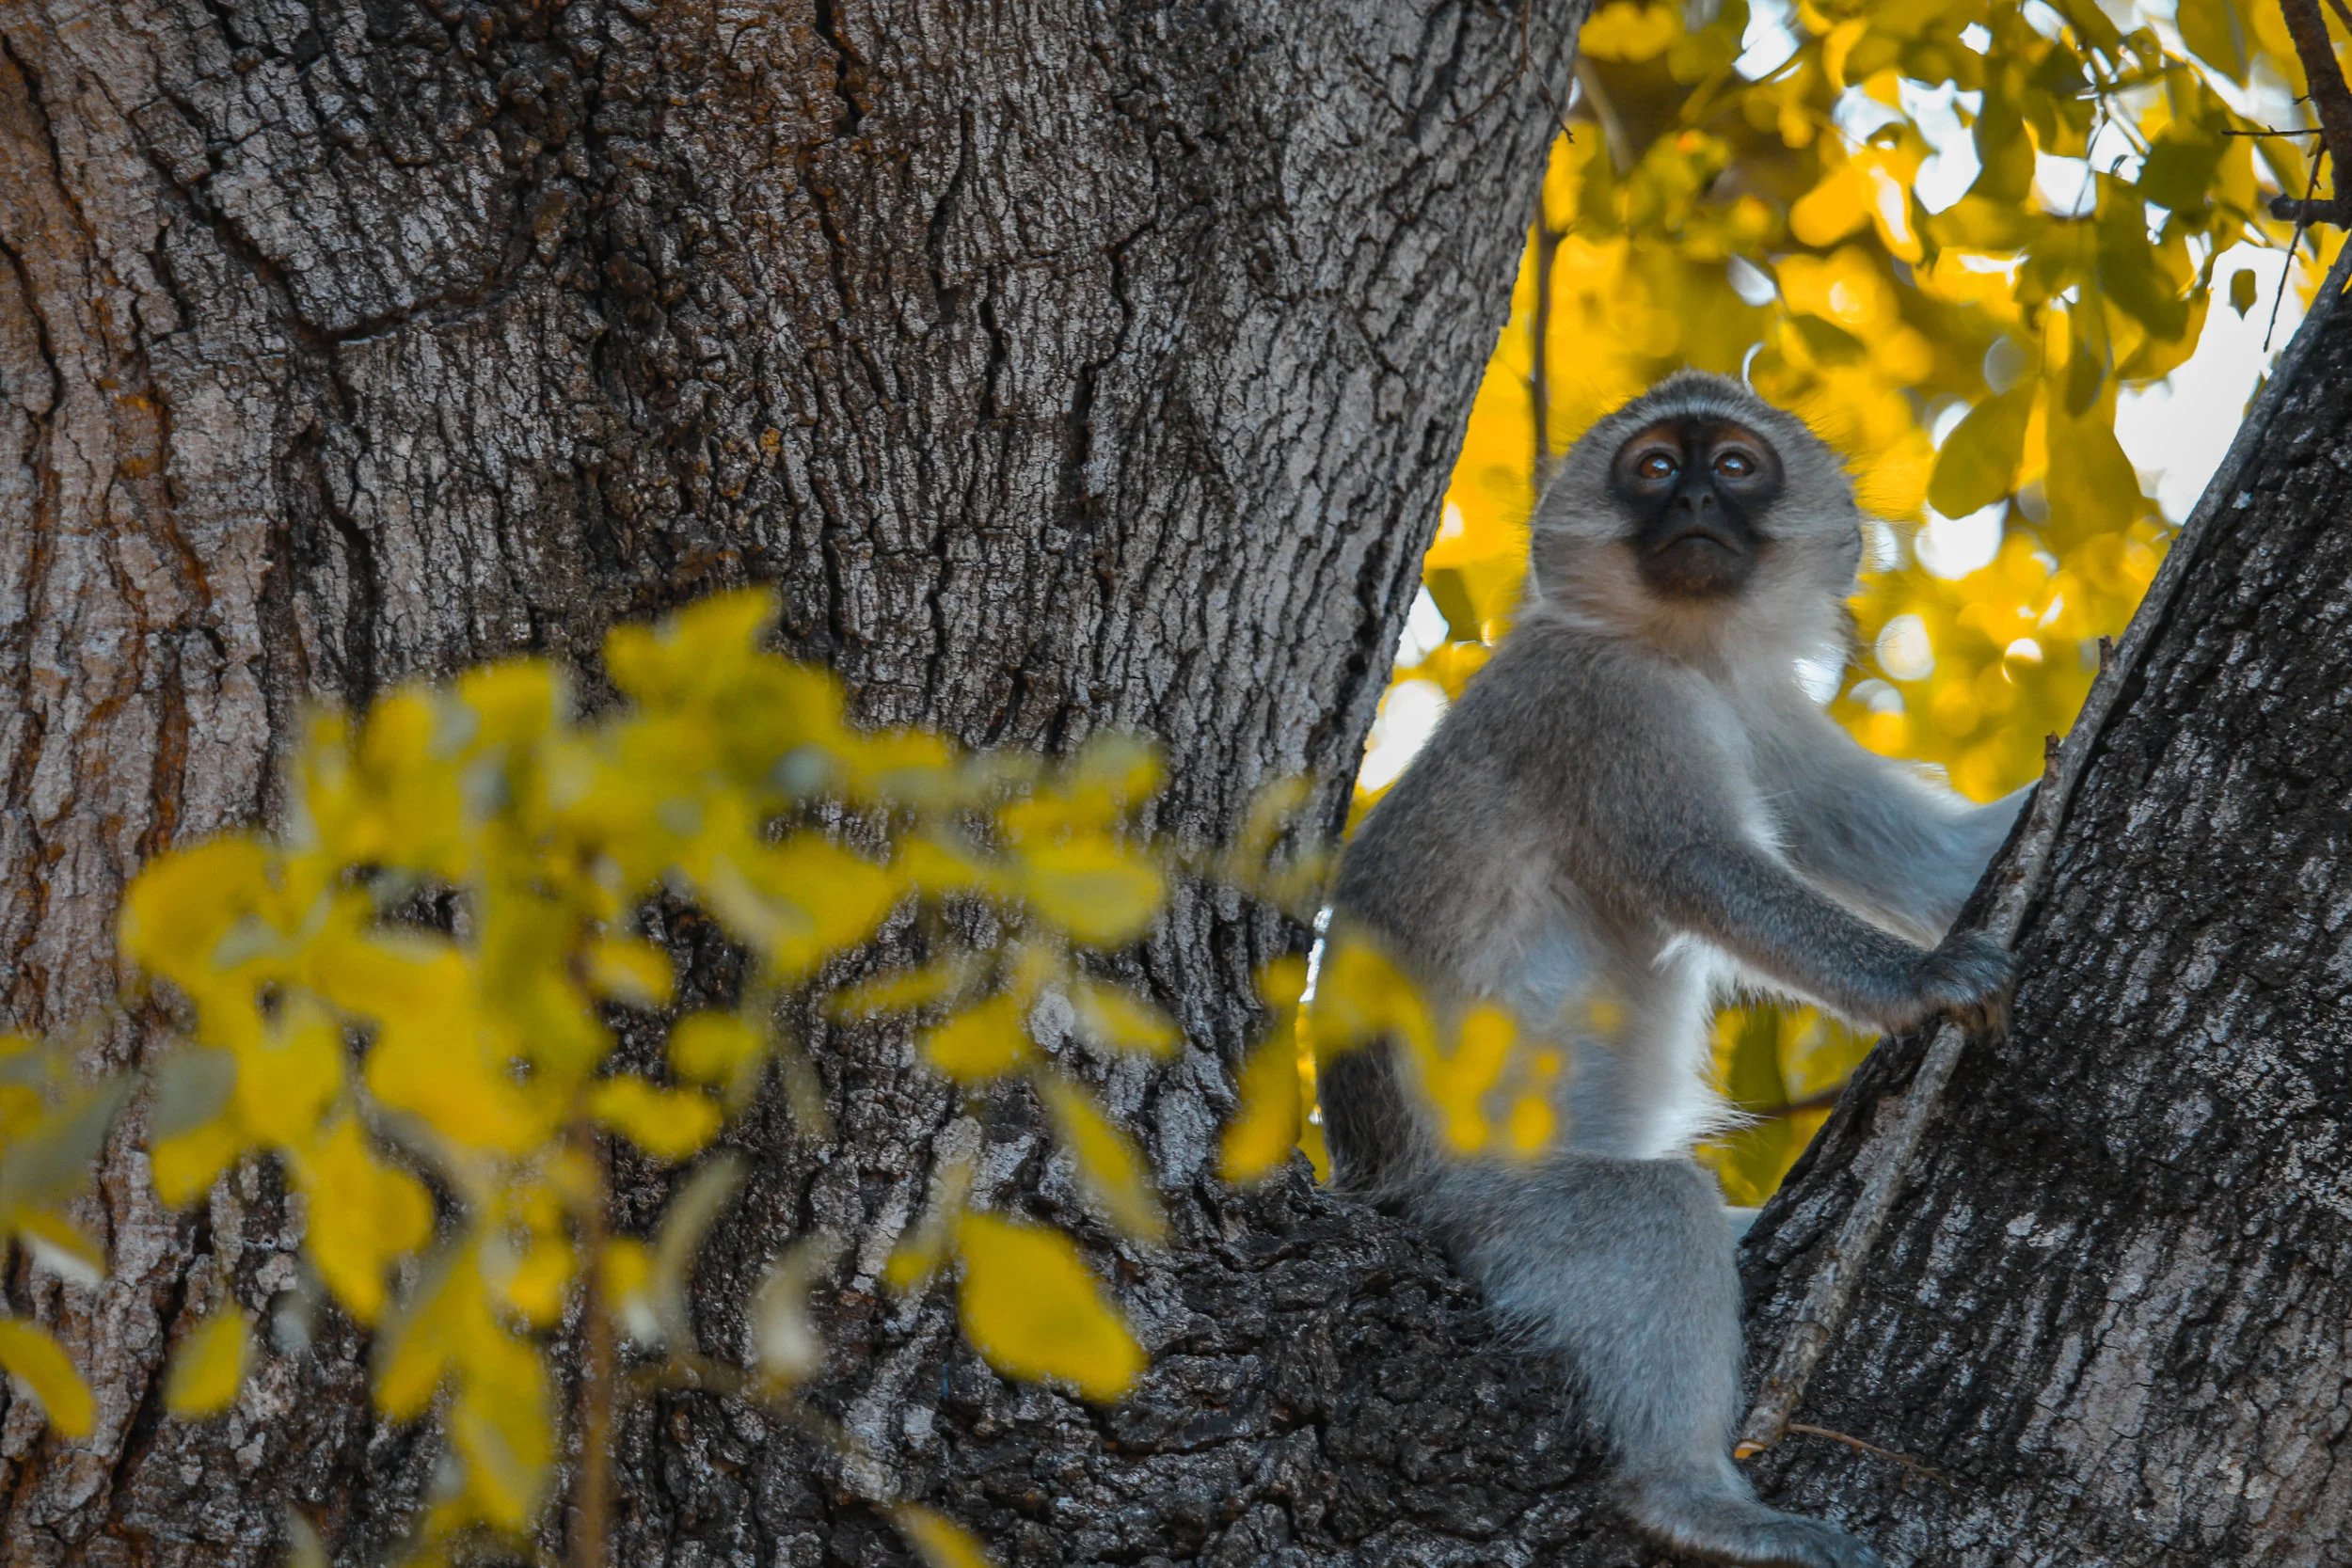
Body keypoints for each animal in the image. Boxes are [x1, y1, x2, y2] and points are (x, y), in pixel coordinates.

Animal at [1322, 370, 2023, 1568]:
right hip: (1491, 1222)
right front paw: (1922, 978)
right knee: (1653, 1211)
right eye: (1652, 468)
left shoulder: (1763, 708)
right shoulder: (1601, 698)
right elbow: (1697, 866)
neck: (1687, 652)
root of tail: (1379, 1189)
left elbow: (1935, 858)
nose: (1693, 496)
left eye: (1734, 465)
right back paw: (1689, 1496)